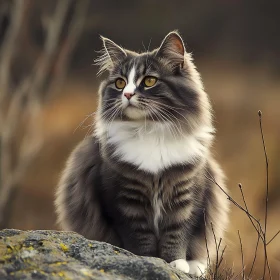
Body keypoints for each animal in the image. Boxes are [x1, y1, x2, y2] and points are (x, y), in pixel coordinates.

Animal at [55, 30, 230, 276]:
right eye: (120, 83)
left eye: (149, 81)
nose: (127, 94)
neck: (150, 131)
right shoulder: (123, 200)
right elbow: (139, 237)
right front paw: (148, 259)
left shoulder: (186, 196)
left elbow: (177, 233)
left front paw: (176, 263)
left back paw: (195, 267)